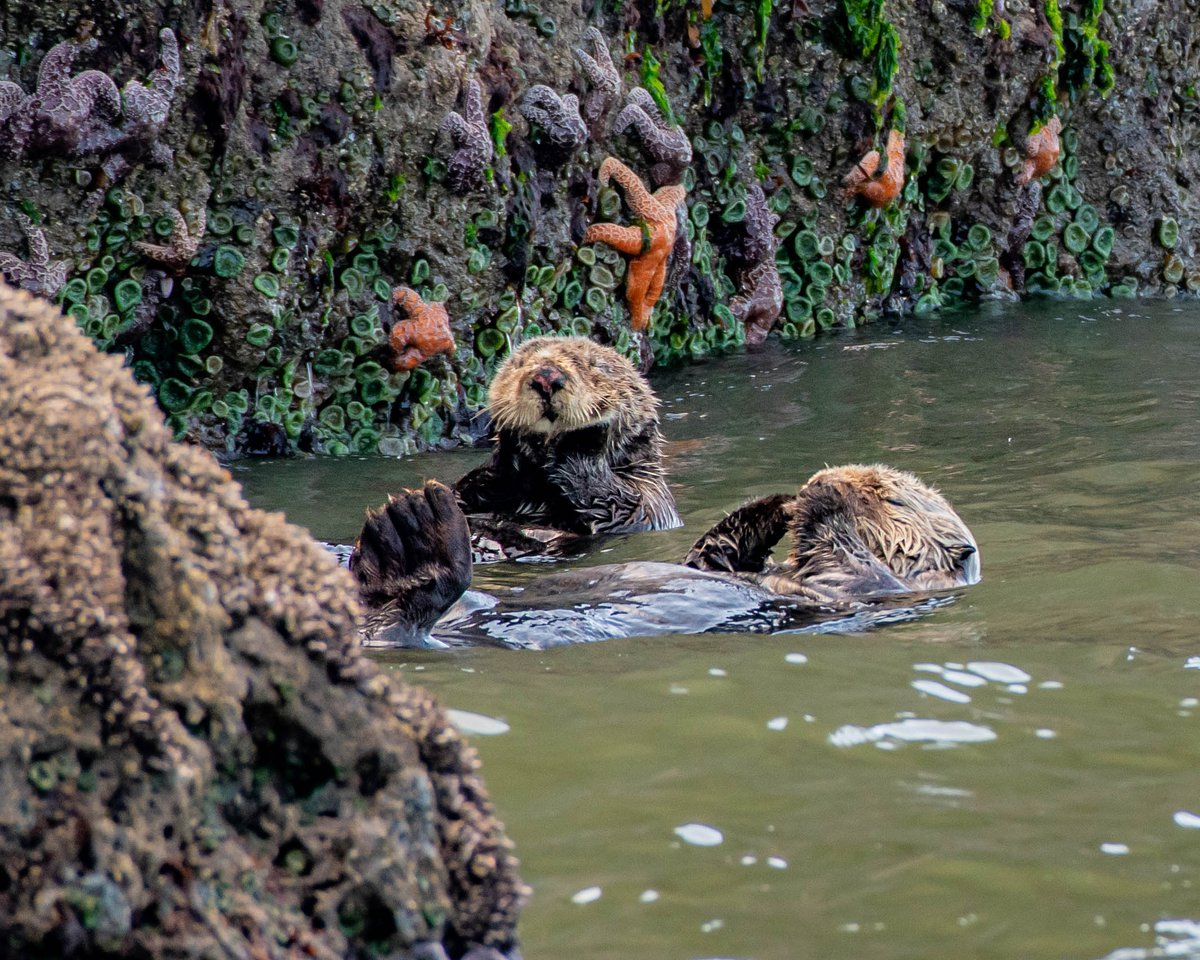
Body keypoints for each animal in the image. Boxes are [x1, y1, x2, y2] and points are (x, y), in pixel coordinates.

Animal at [350, 464, 980, 647]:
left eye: (889, 495)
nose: (827, 476)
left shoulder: (860, 587)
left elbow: (842, 554)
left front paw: (820, 499)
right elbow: (712, 555)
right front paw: (781, 501)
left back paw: (416, 535)